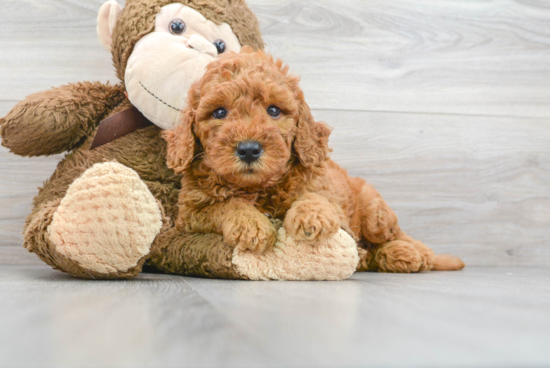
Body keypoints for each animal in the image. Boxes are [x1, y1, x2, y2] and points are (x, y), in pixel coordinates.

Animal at [165, 48, 466, 274]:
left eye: (273, 110)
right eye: (219, 112)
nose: (249, 149)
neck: (259, 188)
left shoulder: (328, 194)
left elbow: (317, 197)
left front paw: (311, 216)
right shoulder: (191, 213)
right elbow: (225, 205)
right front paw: (250, 224)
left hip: (374, 212)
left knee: (395, 235)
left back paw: (415, 252)